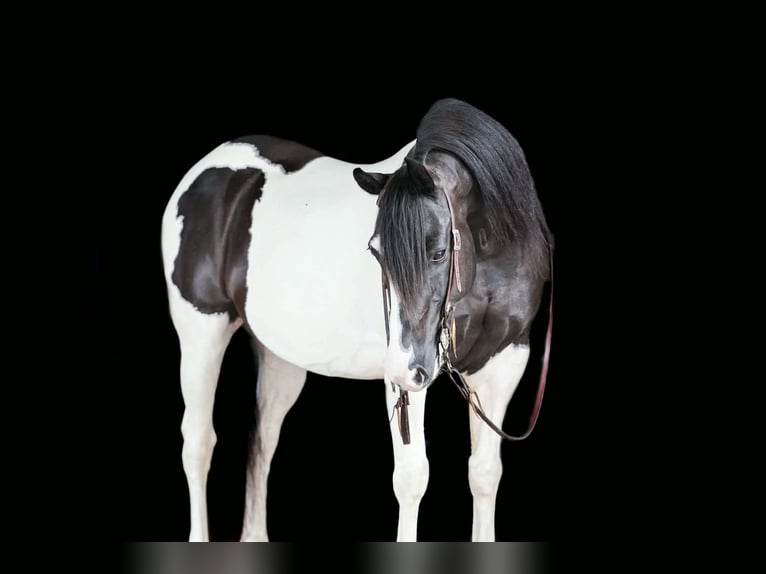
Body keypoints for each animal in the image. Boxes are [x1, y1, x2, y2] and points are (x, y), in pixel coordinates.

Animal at [160, 98, 553, 541]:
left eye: (438, 252)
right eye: (375, 251)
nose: (405, 367)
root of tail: (205, 169)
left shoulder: (504, 364)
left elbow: (485, 474)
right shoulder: (405, 377)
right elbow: (412, 478)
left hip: (281, 356)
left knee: (263, 439)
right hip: (200, 335)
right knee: (198, 441)